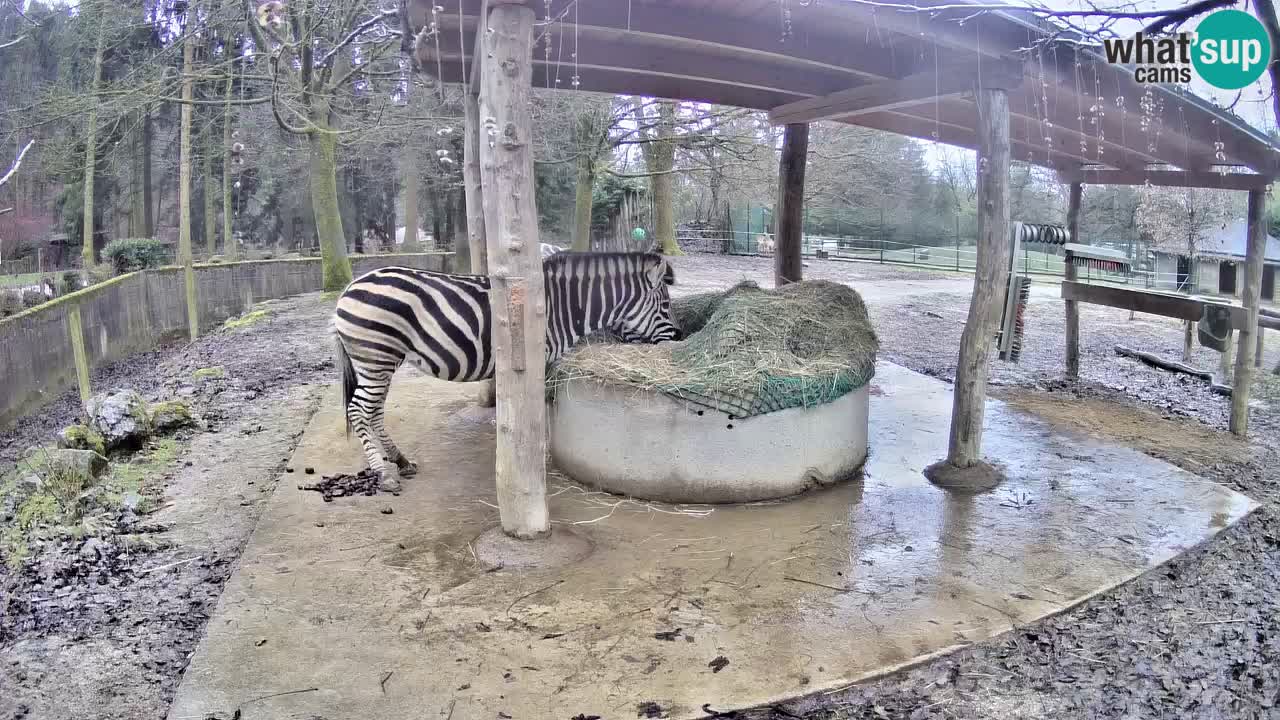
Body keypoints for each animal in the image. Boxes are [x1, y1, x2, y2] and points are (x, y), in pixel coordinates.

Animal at [335, 249, 686, 489]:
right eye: (666, 306)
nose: (681, 339)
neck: (563, 307)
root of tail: (349, 288)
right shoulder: (539, 359)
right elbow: (539, 410)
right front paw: (537, 453)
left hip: (381, 361)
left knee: (374, 411)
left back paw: (401, 460)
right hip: (376, 357)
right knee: (358, 410)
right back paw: (384, 473)